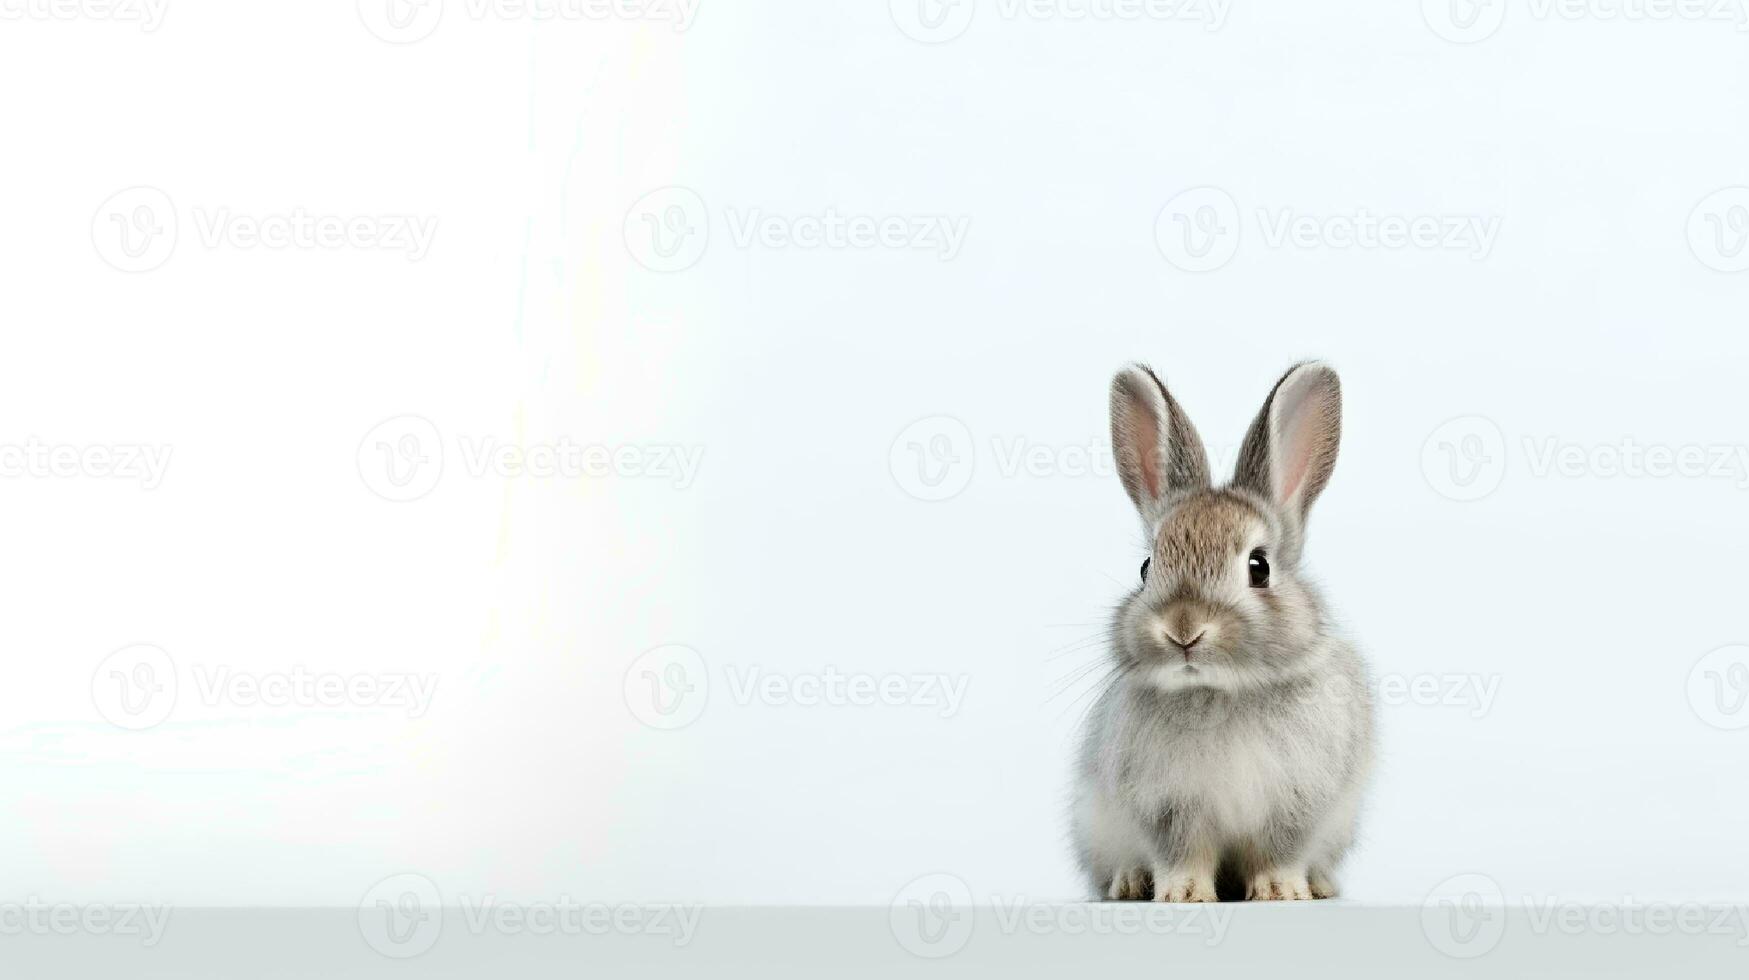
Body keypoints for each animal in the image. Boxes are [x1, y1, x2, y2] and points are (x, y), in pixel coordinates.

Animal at [1070, 362, 1371, 903]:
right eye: (1146, 568)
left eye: (1259, 567)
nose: (1183, 630)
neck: (1221, 690)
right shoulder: (1168, 806)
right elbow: (1182, 852)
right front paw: (1183, 894)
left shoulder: (1297, 802)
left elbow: (1280, 850)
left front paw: (1280, 890)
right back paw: (1131, 882)